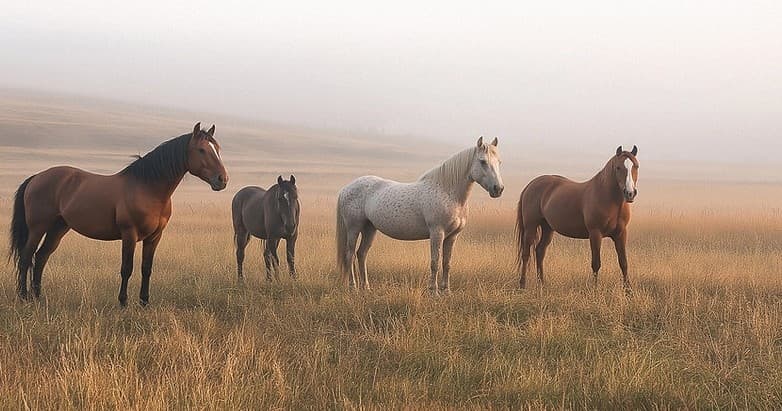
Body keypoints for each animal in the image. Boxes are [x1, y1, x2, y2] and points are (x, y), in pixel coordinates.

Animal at [8, 123, 229, 306]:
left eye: (217, 149)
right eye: (201, 150)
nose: (222, 179)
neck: (147, 189)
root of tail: (37, 177)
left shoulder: (154, 237)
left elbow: (146, 268)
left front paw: (144, 302)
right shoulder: (129, 234)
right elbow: (127, 268)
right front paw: (123, 302)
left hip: (58, 228)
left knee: (41, 257)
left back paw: (38, 297)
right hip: (38, 228)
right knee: (26, 257)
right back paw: (24, 297)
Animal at [336, 137, 504, 294]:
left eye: (499, 162)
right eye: (482, 161)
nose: (498, 189)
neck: (448, 192)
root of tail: (346, 188)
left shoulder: (452, 236)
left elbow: (447, 263)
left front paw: (446, 290)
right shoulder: (437, 233)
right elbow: (435, 262)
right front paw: (433, 291)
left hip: (369, 228)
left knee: (362, 254)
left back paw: (366, 287)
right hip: (354, 227)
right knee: (350, 254)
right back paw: (353, 287)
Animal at [515, 145, 639, 291]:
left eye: (636, 166)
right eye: (618, 167)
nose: (630, 193)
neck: (609, 199)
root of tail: (530, 185)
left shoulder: (621, 234)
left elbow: (623, 262)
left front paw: (628, 291)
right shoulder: (595, 234)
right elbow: (596, 263)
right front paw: (595, 290)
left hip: (547, 228)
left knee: (540, 251)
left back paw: (542, 284)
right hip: (531, 226)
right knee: (526, 254)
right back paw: (522, 285)